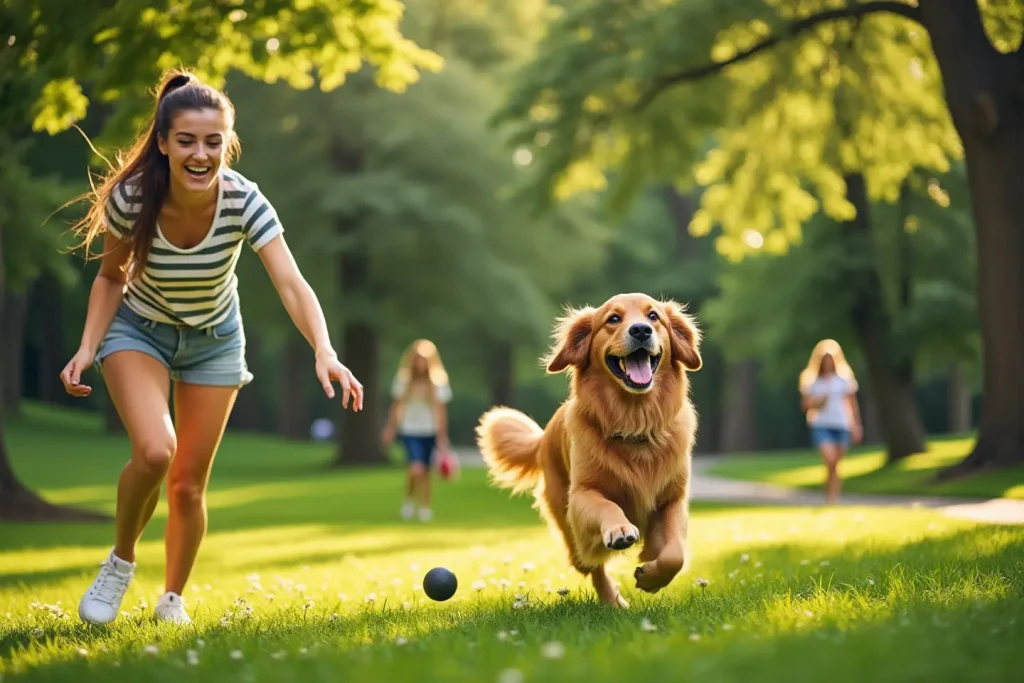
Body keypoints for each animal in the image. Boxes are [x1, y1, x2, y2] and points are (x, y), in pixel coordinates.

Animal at [473, 290, 700, 606]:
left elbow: (673, 555)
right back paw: (613, 601)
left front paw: (652, 577)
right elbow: (607, 505)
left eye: (654, 316)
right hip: (567, 523)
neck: (635, 423)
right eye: (613, 319)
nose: (641, 330)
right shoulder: (581, 495)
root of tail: (543, 438)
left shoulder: (673, 500)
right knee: (590, 565)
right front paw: (619, 529)